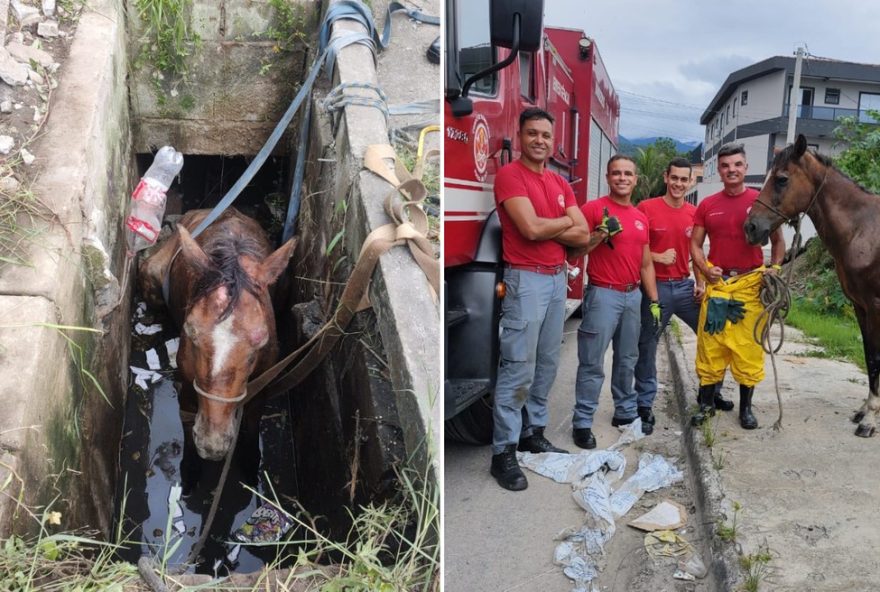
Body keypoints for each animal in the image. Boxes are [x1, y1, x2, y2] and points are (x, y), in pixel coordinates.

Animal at [140, 208, 296, 458]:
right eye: (191, 332)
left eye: (260, 340)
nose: (212, 444)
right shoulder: (187, 386)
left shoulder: (262, 386)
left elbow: (252, 432)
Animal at [744, 134, 880, 438]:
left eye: (782, 179)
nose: (751, 227)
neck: (864, 230)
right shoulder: (861, 307)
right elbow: (869, 357)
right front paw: (864, 410)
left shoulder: (877, 306)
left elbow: (876, 358)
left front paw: (870, 420)